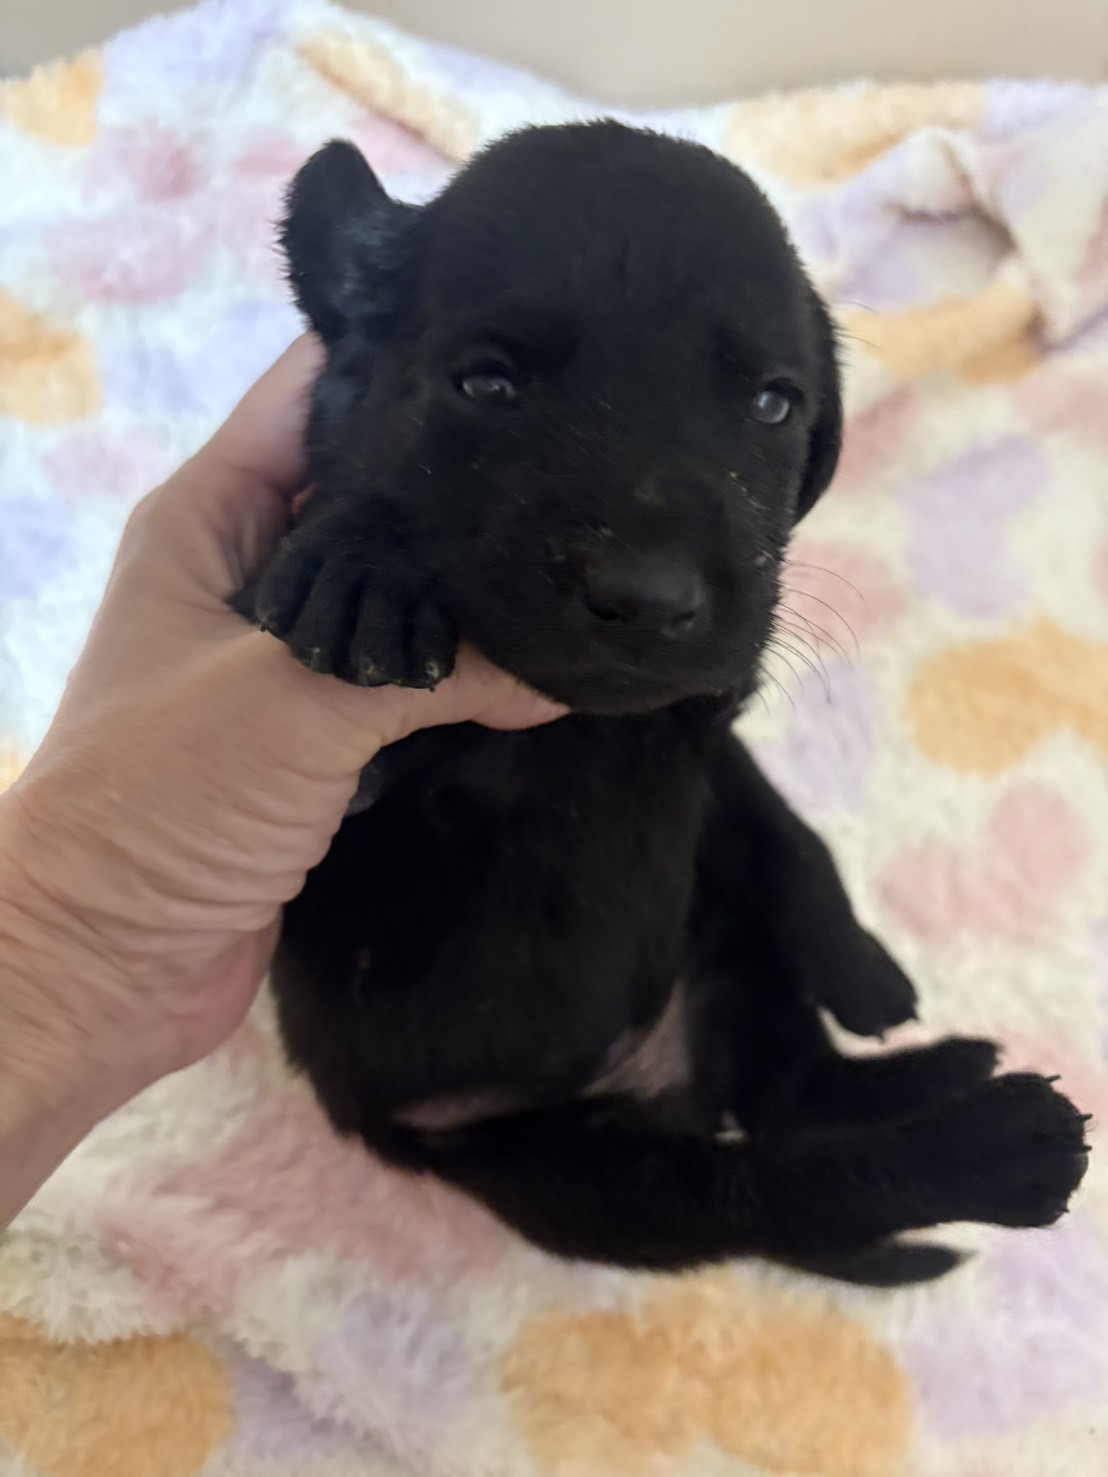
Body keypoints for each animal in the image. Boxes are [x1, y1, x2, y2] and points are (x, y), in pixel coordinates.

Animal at [238, 122, 1088, 1283]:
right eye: (487, 385)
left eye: (773, 403)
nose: (649, 597)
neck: (591, 728)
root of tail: (666, 1076)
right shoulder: (332, 767)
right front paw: (362, 561)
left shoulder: (705, 716)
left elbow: (785, 823)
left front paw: (861, 965)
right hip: (583, 1171)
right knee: (783, 1188)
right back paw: (996, 1147)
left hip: (724, 939)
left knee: (794, 1092)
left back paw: (938, 1065)